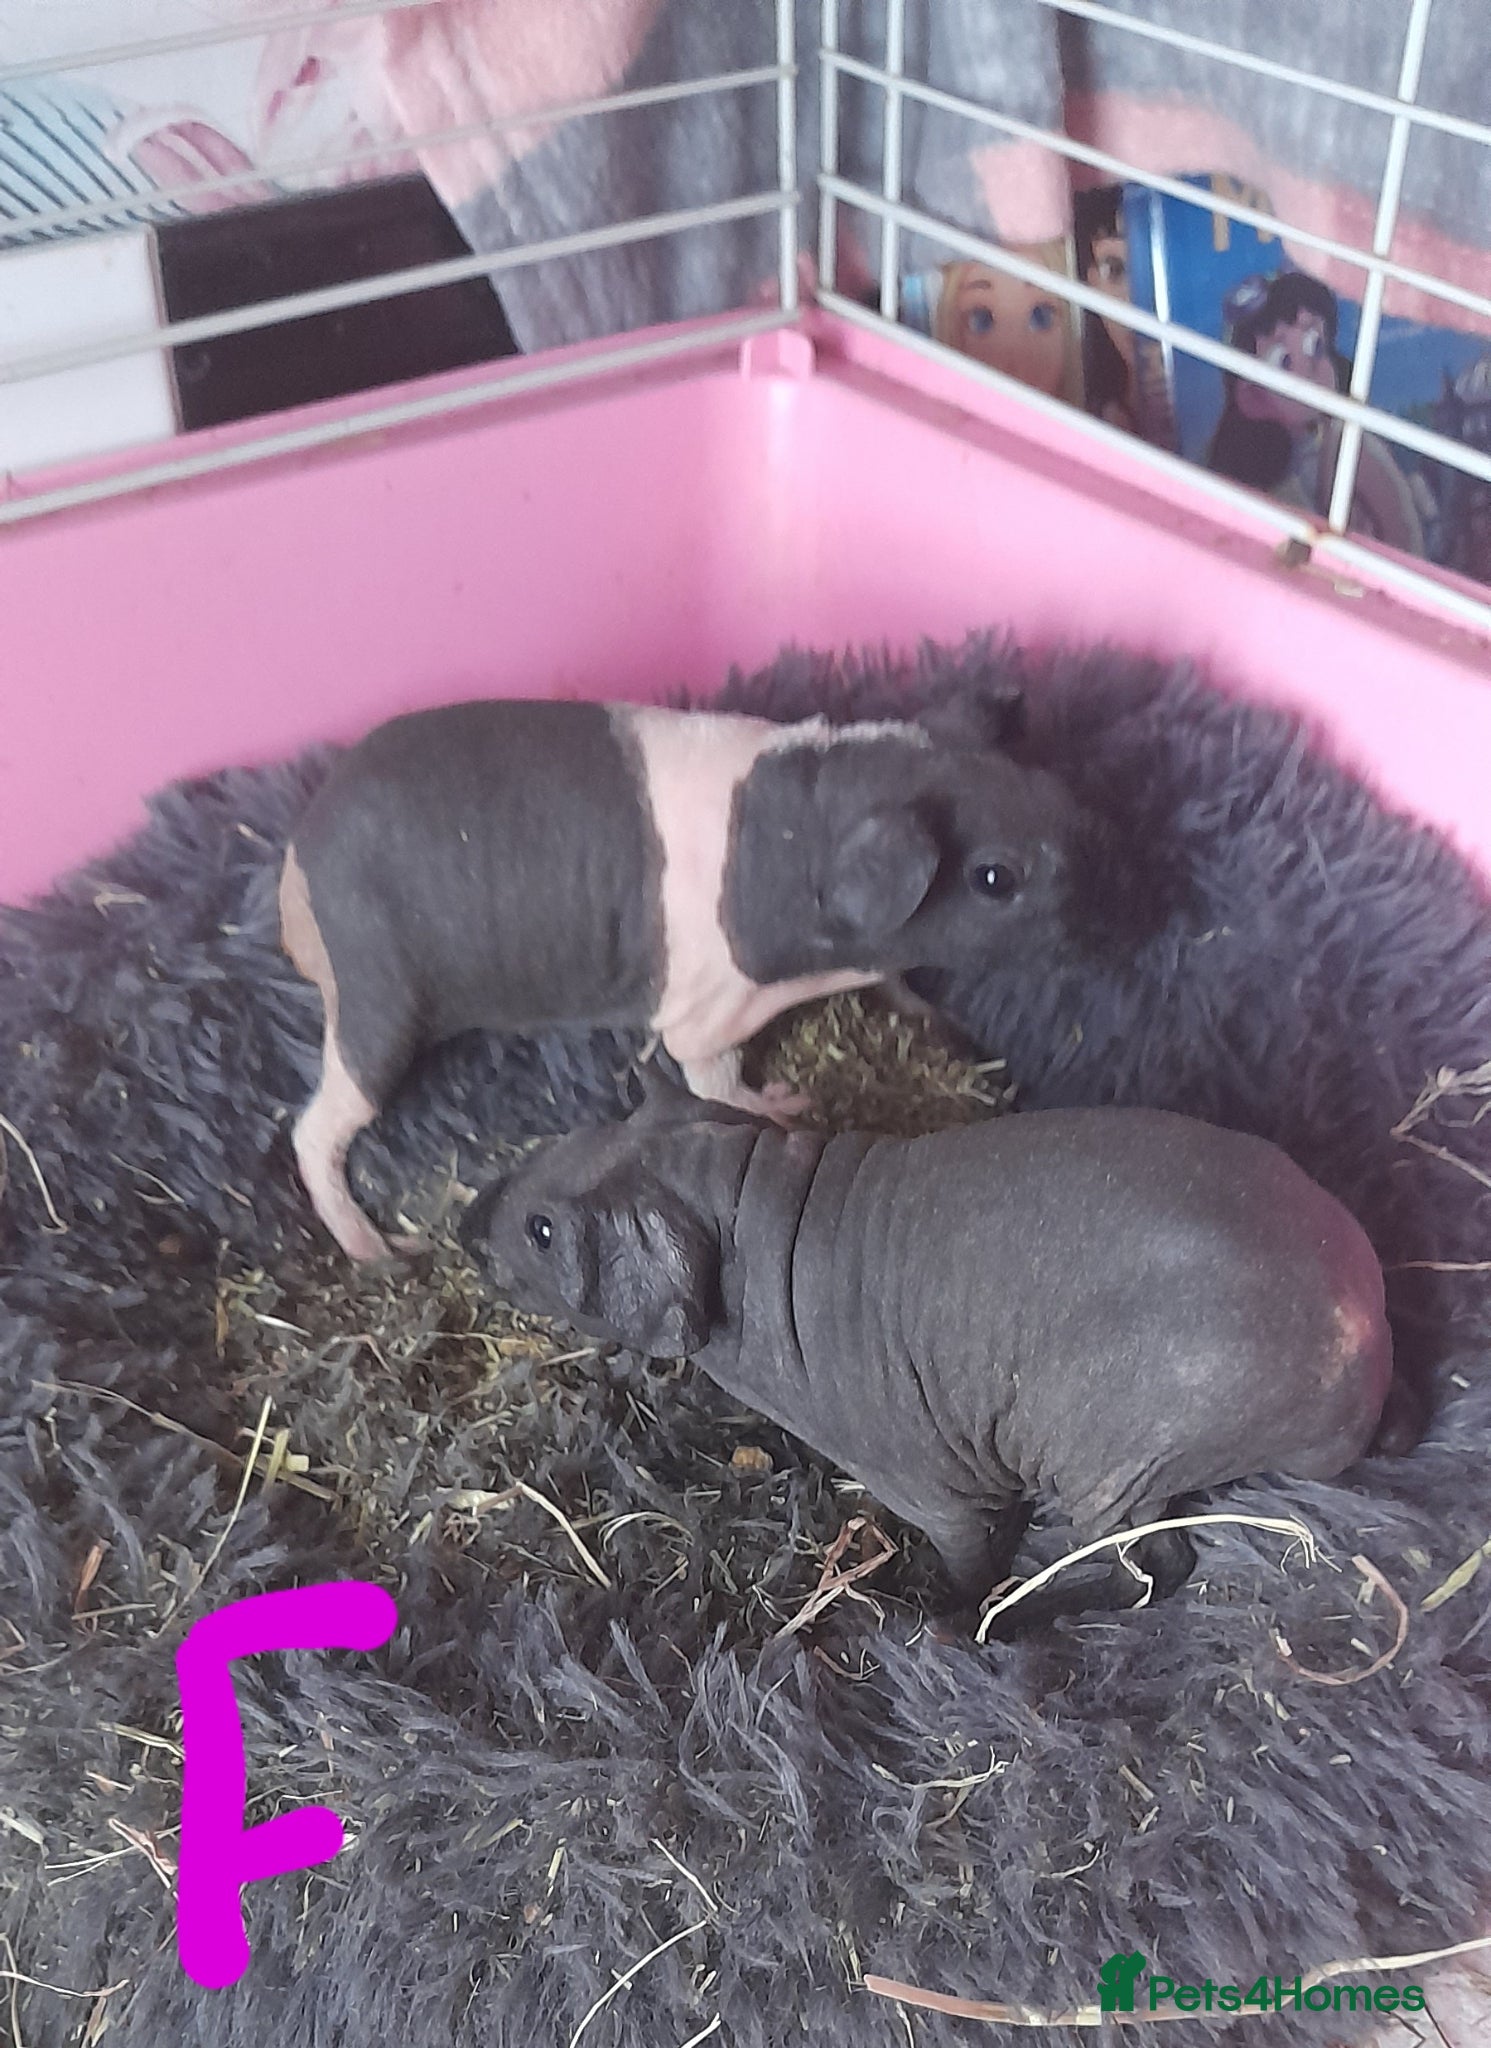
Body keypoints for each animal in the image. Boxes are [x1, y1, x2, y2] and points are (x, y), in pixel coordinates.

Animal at [280, 696, 1088, 1261]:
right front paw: (788, 1104)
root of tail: (294, 874)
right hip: (381, 1010)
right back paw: (381, 1252)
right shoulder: (707, 1012)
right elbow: (713, 1075)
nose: (1101, 882)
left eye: (1052, 788)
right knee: (311, 1132)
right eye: (994, 877)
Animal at [459, 1077, 1394, 1628]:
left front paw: (939, 1613)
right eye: (581, 1133)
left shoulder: (939, 1494)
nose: (468, 1223)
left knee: (1156, 1569)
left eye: (543, 1233)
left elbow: (968, 1563)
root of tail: (1361, 1337)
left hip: (1108, 1468)